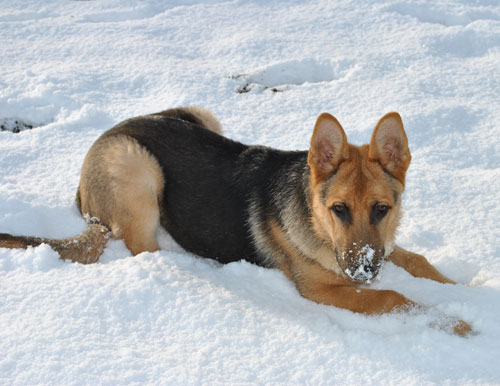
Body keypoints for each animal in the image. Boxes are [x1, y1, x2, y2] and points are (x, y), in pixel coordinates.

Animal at [0, 105, 472, 334]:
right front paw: (455, 321)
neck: (316, 222)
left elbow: (418, 261)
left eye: (382, 209)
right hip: (139, 169)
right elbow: (393, 297)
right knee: (143, 250)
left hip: (199, 114)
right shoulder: (323, 290)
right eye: (339, 210)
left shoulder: (382, 246)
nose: (363, 271)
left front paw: (463, 290)